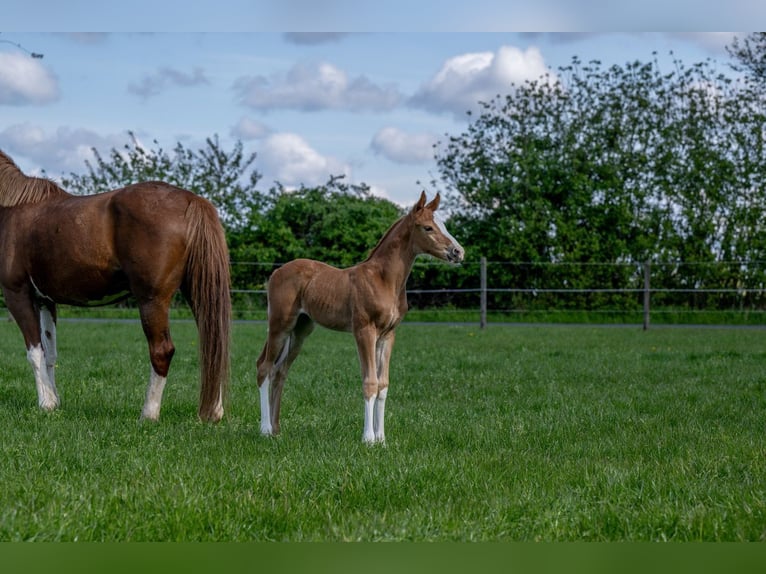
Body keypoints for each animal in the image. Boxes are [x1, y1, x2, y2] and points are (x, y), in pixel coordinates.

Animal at [0, 151, 231, 426]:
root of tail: (190, 200)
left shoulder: (17, 294)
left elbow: (35, 352)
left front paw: (46, 404)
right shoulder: (46, 300)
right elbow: (50, 353)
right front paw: (55, 402)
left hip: (152, 299)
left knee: (162, 351)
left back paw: (148, 414)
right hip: (198, 291)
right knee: (213, 344)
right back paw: (214, 412)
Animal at [255, 194, 464, 446]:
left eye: (443, 225)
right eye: (428, 227)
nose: (458, 252)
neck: (384, 280)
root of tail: (276, 273)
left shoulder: (387, 335)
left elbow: (383, 384)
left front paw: (382, 439)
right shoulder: (365, 331)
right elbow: (369, 382)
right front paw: (368, 438)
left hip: (300, 331)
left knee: (280, 372)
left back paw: (276, 430)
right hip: (279, 325)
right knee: (264, 367)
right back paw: (265, 429)